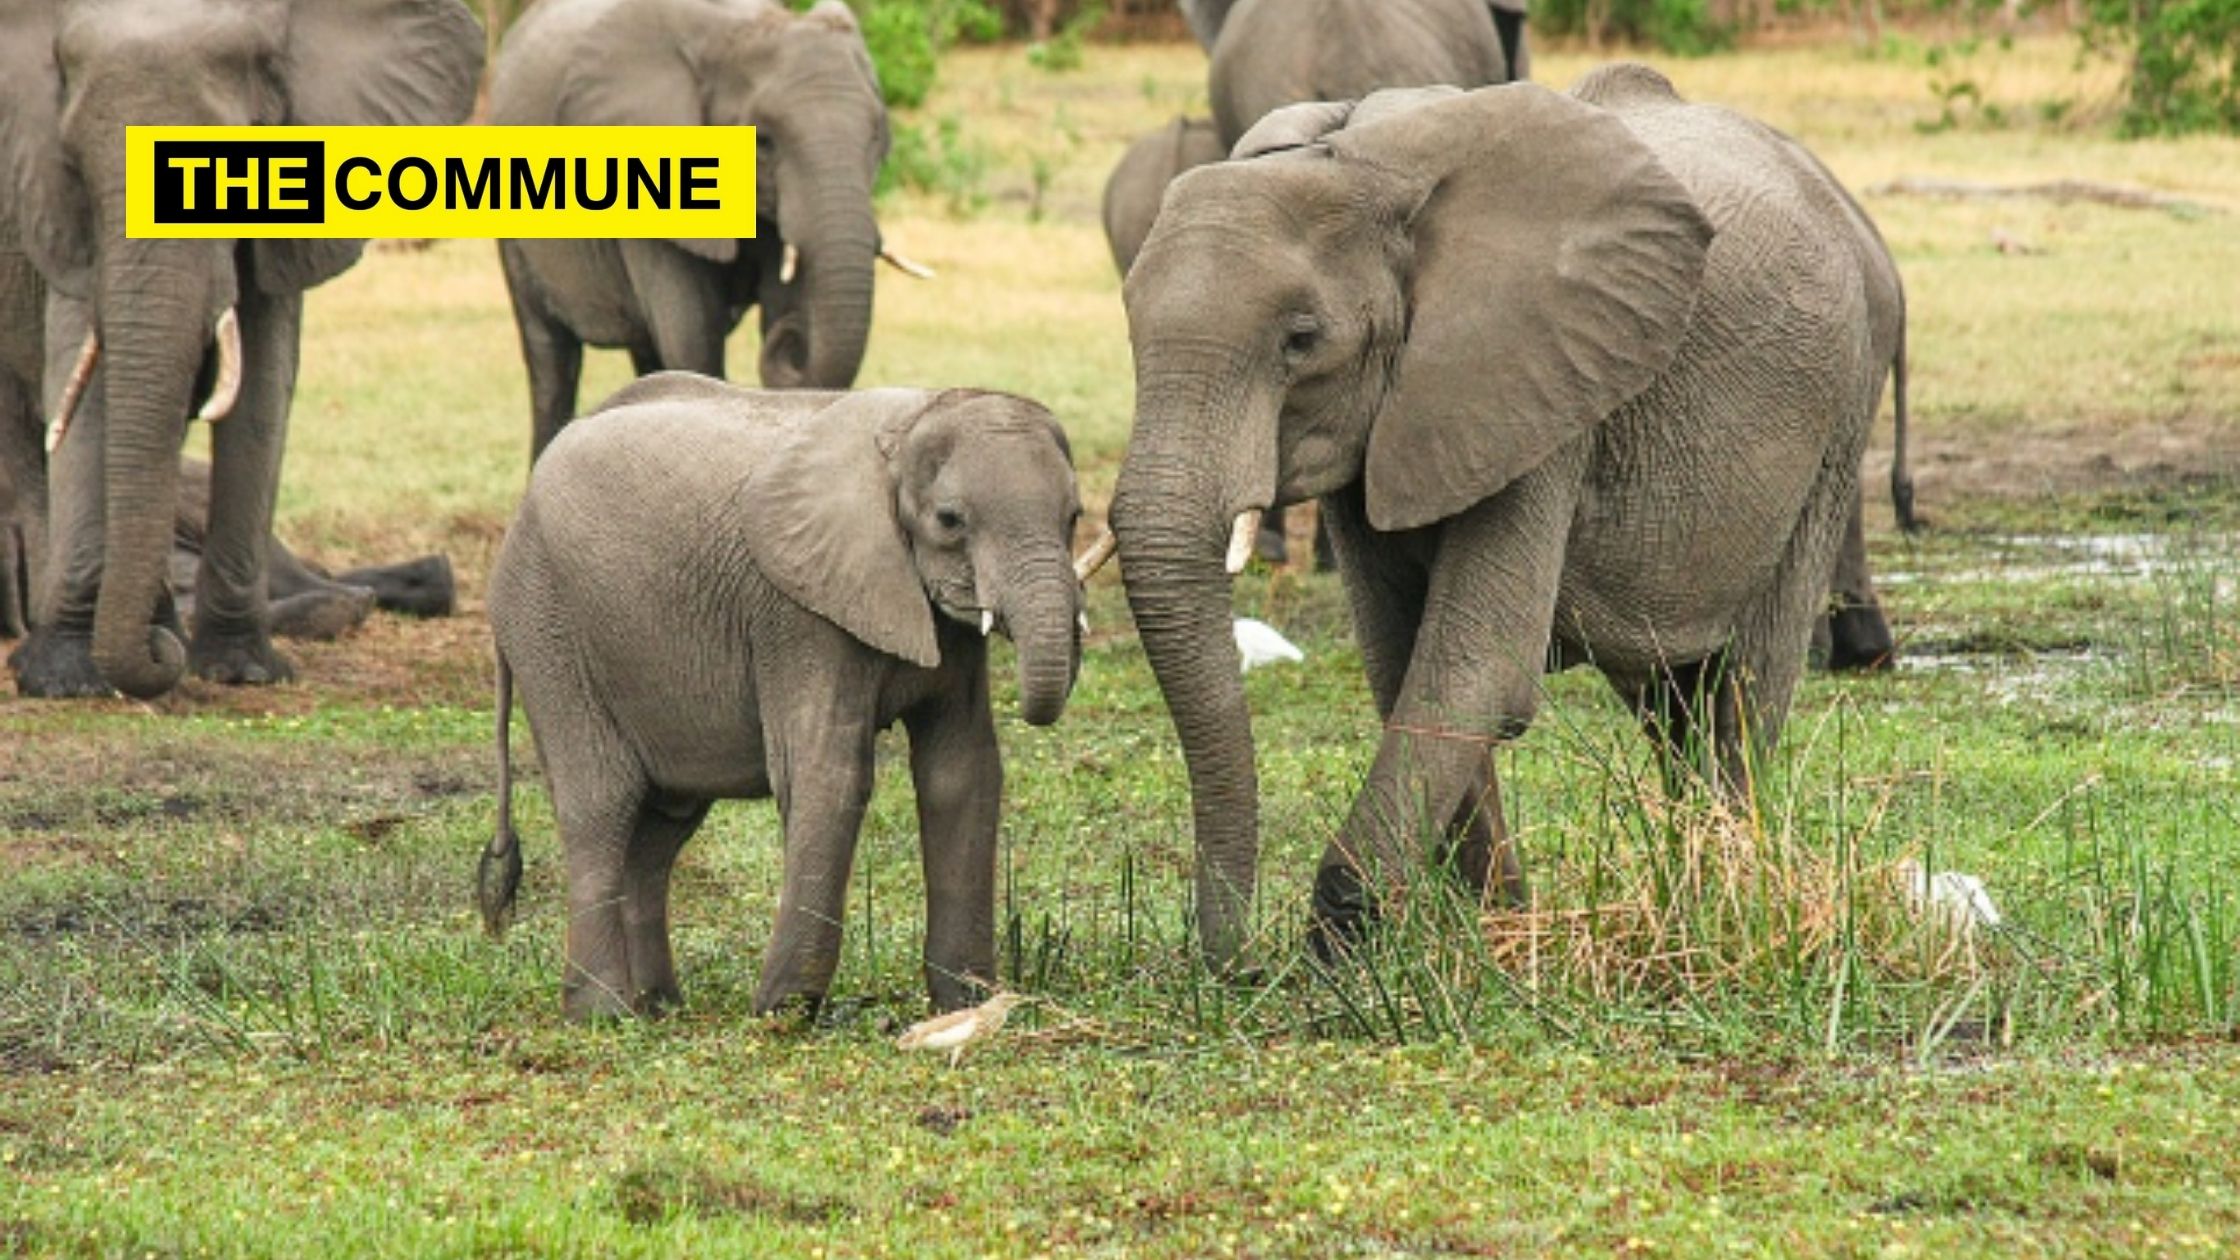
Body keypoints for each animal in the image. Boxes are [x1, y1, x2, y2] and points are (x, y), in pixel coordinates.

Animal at [0, 0, 483, 699]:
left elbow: (263, 388)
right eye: (77, 166)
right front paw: (65, 679)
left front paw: (242, 670)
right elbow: (81, 380)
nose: (157, 658)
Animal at [478, 374, 1101, 1020]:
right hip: (546, 625)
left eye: (1073, 516)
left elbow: (962, 771)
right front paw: (785, 1011)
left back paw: (660, 1007)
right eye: (950, 520)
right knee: (602, 804)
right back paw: (604, 1013)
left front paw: (966, 1004)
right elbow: (829, 772)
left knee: (661, 828)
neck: (908, 428)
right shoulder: (800, 613)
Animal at [492, 0, 908, 462]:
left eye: (877, 137)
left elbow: (775, 304)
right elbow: (691, 337)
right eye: (763, 142)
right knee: (551, 360)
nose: (792, 339)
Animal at [1109, 68, 1912, 967]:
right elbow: (1403, 664)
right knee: (1672, 698)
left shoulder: (1543, 390)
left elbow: (1476, 669)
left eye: (1301, 340)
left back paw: (1725, 898)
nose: (1240, 967)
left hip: (1839, 415)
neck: (1363, 166)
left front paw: (1341, 951)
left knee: (1745, 683)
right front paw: (1491, 932)